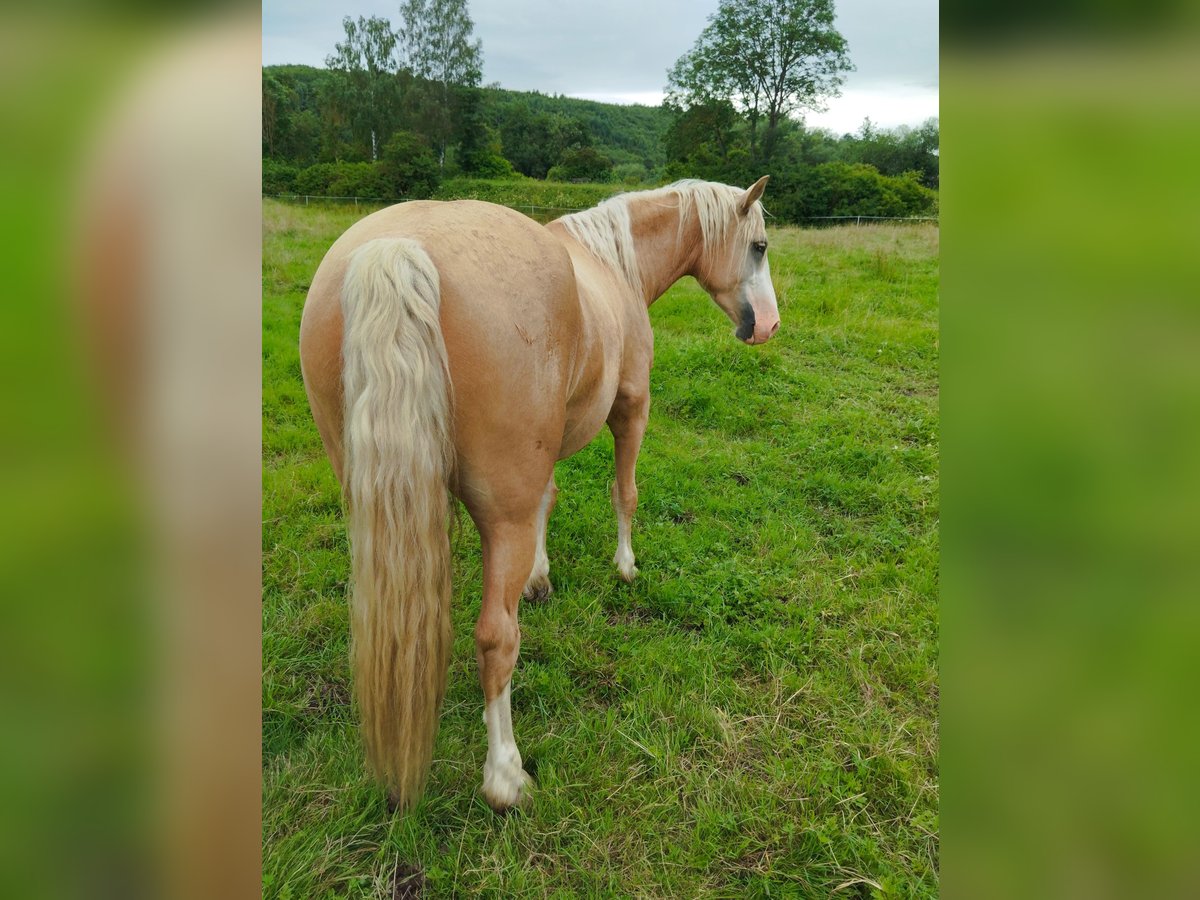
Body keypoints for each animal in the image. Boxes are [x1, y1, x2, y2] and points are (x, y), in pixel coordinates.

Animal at [298, 177, 780, 813]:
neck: (613, 265)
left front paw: (539, 577)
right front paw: (626, 566)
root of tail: (397, 248)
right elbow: (625, 492)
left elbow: (549, 500)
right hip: (503, 516)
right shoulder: (632, 408)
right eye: (759, 246)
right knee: (496, 640)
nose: (767, 326)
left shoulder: (542, 464)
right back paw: (506, 777)